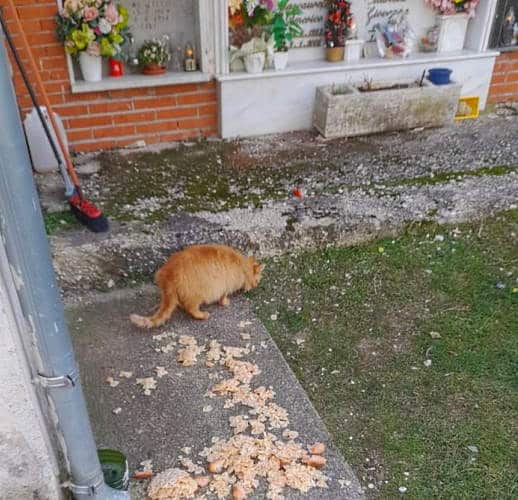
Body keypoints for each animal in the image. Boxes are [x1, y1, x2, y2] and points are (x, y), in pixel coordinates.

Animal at [128, 245, 262, 328]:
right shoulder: (224, 287)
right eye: (257, 280)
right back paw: (203, 315)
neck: (242, 265)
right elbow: (223, 297)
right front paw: (225, 302)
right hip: (198, 295)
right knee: (191, 309)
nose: (256, 286)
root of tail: (170, 274)